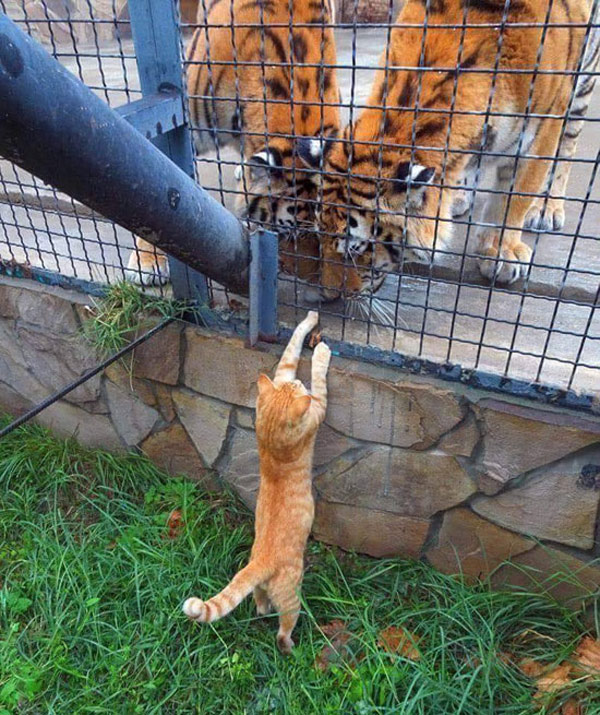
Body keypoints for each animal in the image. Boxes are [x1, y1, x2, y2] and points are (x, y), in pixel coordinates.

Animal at [183, 310, 332, 652]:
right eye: (299, 386)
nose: (298, 383)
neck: (271, 444)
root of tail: (259, 560)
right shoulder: (318, 407)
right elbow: (320, 381)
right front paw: (321, 352)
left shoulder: (279, 375)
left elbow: (290, 349)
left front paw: (310, 320)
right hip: (291, 596)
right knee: (283, 626)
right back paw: (291, 646)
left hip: (261, 588)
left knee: (258, 600)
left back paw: (262, 611)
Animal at [304, 0, 596, 300]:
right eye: (319, 236)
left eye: (358, 252)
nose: (327, 294)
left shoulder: (544, 127)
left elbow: (516, 197)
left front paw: (502, 252)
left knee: (567, 148)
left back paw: (547, 208)